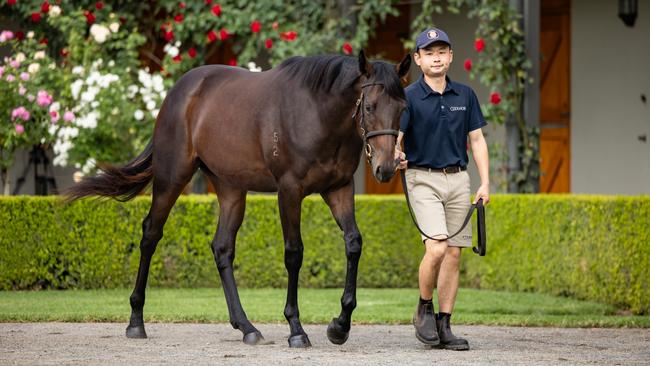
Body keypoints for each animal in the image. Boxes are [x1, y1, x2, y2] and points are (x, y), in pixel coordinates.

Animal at [66, 50, 410, 346]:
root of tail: (179, 92)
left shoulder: (338, 189)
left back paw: (246, 327)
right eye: (369, 106)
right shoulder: (290, 190)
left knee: (221, 248)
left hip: (231, 188)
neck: (317, 112)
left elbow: (353, 243)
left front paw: (340, 325)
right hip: (171, 178)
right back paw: (136, 321)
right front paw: (296, 329)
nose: (386, 168)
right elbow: (294, 253)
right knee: (151, 234)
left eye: (402, 109)